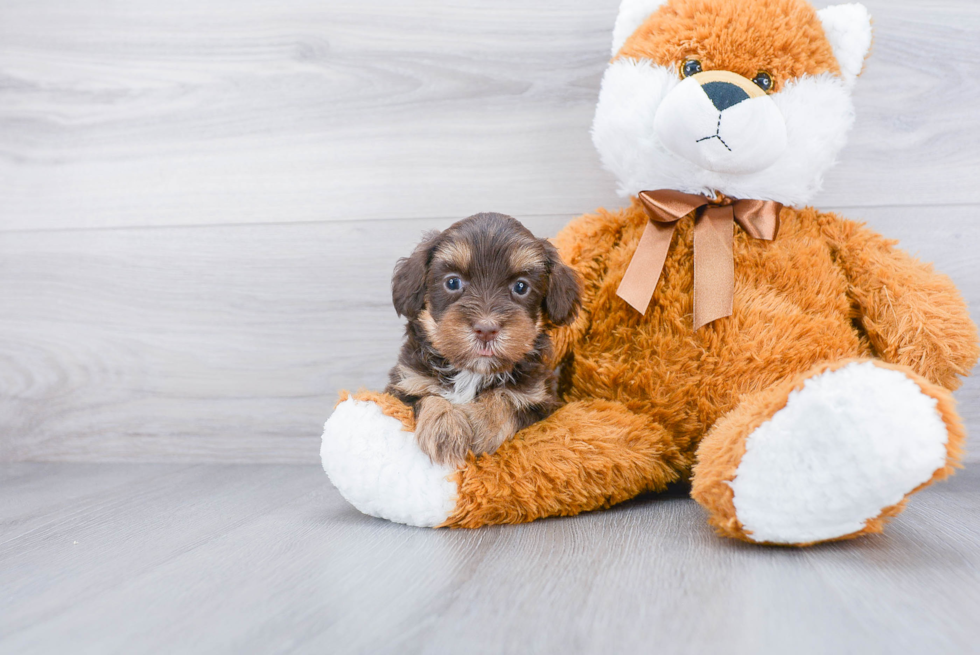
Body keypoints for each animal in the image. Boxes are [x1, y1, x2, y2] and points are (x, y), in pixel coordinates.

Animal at [384, 211, 580, 466]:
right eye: (452, 282)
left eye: (521, 287)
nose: (486, 330)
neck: (473, 372)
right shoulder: (403, 385)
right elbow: (429, 395)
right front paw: (444, 426)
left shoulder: (541, 401)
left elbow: (505, 397)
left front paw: (483, 422)